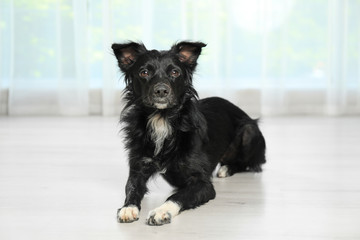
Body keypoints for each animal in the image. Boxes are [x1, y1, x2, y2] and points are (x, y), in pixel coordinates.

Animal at [111, 40, 266, 226]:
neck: (162, 120)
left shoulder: (203, 184)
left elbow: (177, 196)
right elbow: (131, 187)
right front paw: (128, 207)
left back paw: (227, 169)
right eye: (144, 72)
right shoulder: (138, 167)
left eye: (175, 72)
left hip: (250, 132)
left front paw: (161, 211)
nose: (161, 90)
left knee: (247, 163)